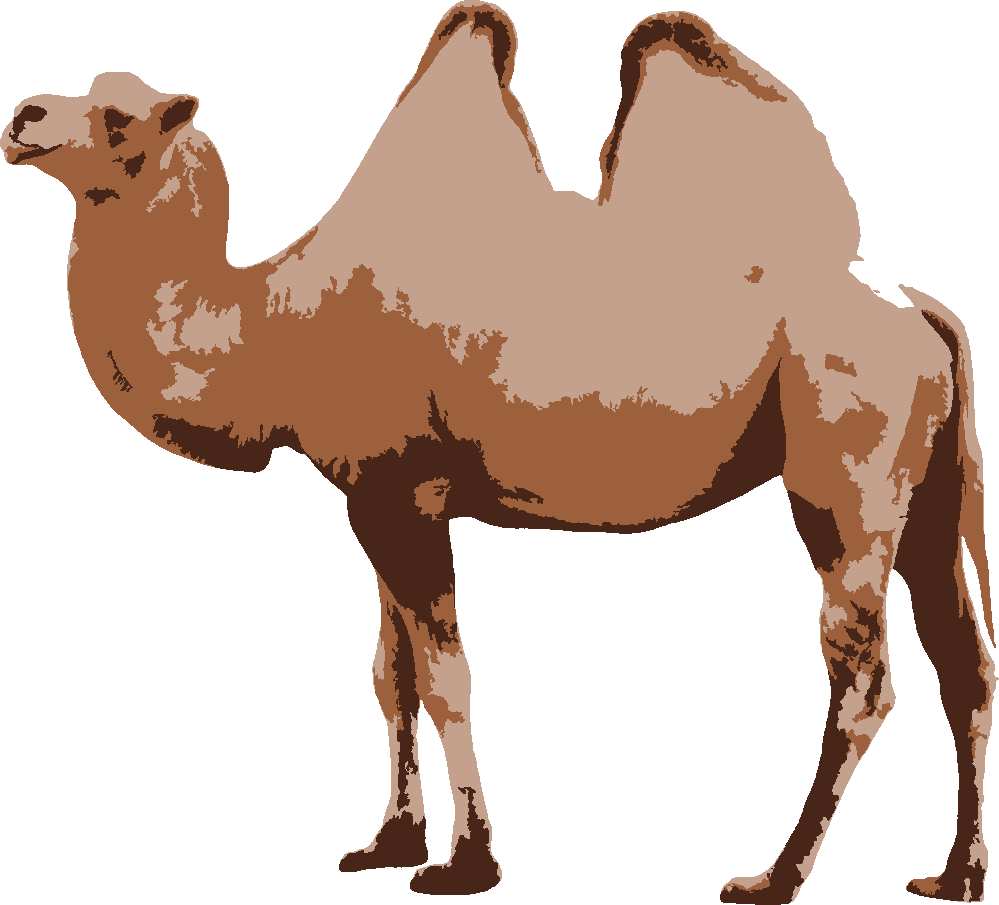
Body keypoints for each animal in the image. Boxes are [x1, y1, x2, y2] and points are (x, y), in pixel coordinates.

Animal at [4, 4, 991, 901]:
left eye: (119, 119)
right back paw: (954, 876)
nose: (22, 116)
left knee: (860, 670)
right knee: (964, 657)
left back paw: (774, 875)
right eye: (91, 91)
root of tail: (918, 308)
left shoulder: (402, 492)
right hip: (927, 483)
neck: (277, 323)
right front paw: (387, 842)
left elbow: (446, 675)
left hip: (844, 468)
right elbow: (387, 671)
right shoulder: (372, 492)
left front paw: (463, 863)